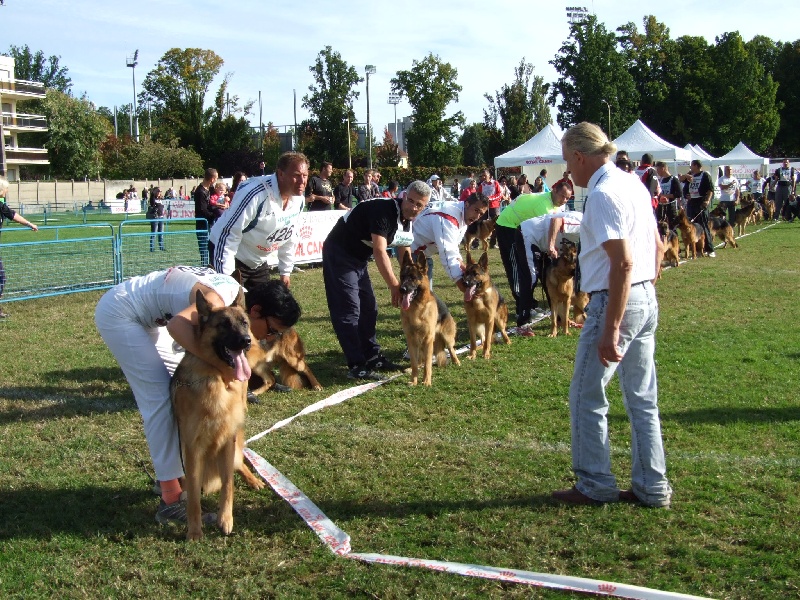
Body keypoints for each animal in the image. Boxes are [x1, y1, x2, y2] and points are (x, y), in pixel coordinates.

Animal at [172, 288, 266, 540]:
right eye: (223, 324)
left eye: (244, 323)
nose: (246, 341)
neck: (218, 379)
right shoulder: (192, 449)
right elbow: (194, 498)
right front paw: (194, 531)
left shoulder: (228, 441)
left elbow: (228, 485)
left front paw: (226, 519)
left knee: (239, 464)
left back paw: (254, 480)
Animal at [396, 252, 460, 384]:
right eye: (402, 277)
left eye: (413, 278)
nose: (401, 289)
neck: (416, 308)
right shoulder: (411, 339)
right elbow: (415, 363)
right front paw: (414, 381)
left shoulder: (428, 339)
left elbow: (427, 363)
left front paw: (426, 381)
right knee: (419, 360)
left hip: (446, 336)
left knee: (451, 349)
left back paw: (456, 361)